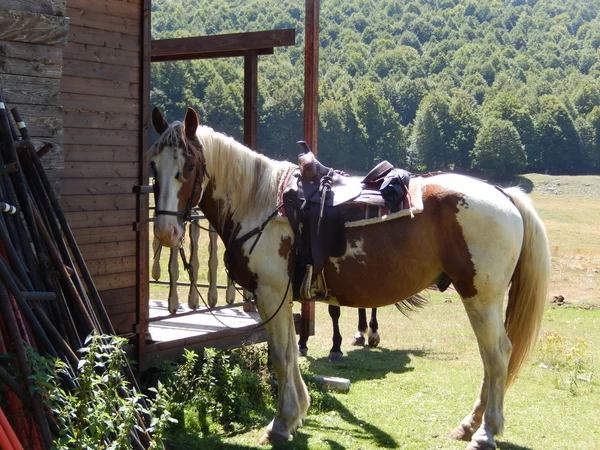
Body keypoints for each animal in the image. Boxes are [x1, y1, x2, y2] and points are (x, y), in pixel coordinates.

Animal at [149, 106, 548, 450]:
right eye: (153, 165)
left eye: (188, 165)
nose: (166, 232)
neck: (261, 203)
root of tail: (501, 193)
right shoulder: (282, 298)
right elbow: (291, 352)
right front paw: (297, 415)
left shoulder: (270, 293)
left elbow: (279, 355)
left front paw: (281, 423)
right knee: (491, 357)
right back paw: (469, 425)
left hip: (481, 295)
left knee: (497, 355)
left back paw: (485, 432)